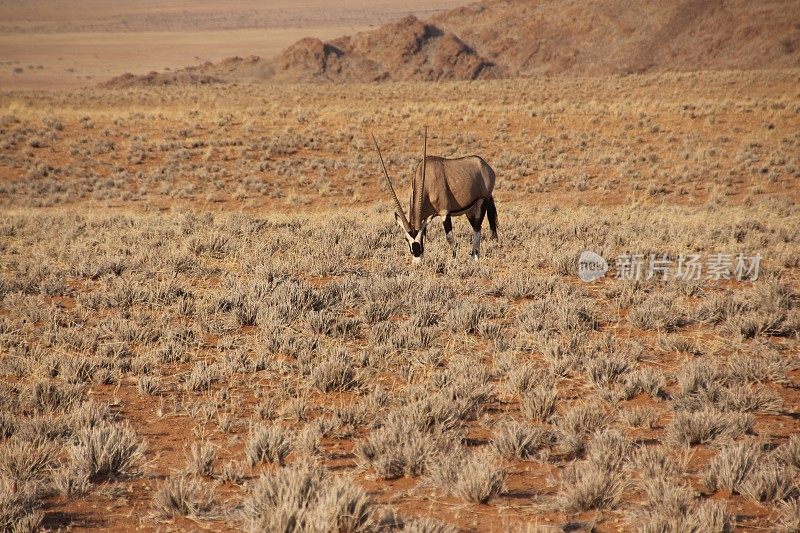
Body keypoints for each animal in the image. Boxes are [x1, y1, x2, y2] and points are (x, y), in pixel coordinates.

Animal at [372, 129, 496, 262]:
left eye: (419, 237)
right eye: (406, 239)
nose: (416, 260)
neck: (426, 179)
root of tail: (485, 165)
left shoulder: (444, 212)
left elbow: (450, 238)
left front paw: (454, 261)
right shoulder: (425, 217)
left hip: (482, 201)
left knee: (477, 229)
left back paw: (474, 259)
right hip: (470, 210)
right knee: (476, 228)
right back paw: (474, 256)